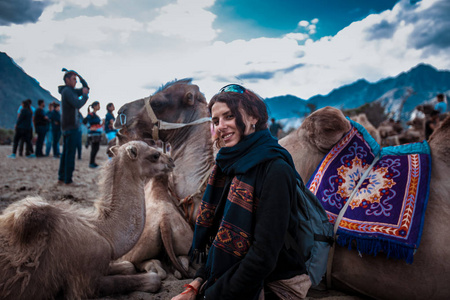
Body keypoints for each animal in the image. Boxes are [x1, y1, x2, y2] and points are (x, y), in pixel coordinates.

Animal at [0, 141, 174, 300]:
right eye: (155, 154)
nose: (172, 160)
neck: (104, 233)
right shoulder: (85, 281)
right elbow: (152, 280)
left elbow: (128, 266)